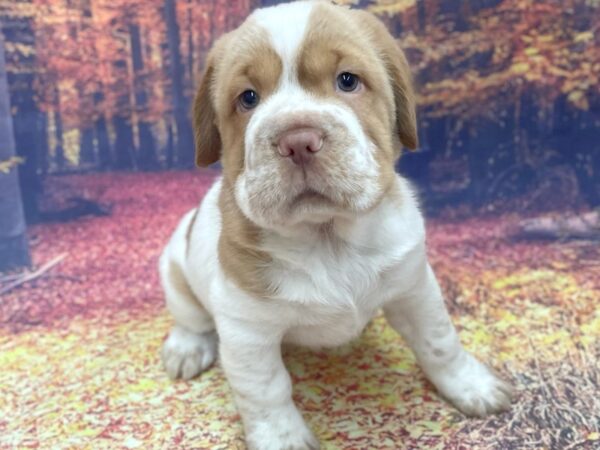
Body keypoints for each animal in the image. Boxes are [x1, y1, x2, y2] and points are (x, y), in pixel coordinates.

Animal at [158, 1, 510, 448]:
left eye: (347, 81)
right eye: (248, 98)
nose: (298, 140)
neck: (327, 238)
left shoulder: (414, 288)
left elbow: (440, 342)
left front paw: (470, 386)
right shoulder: (247, 332)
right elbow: (266, 391)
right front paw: (284, 439)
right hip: (173, 270)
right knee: (190, 318)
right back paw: (186, 348)